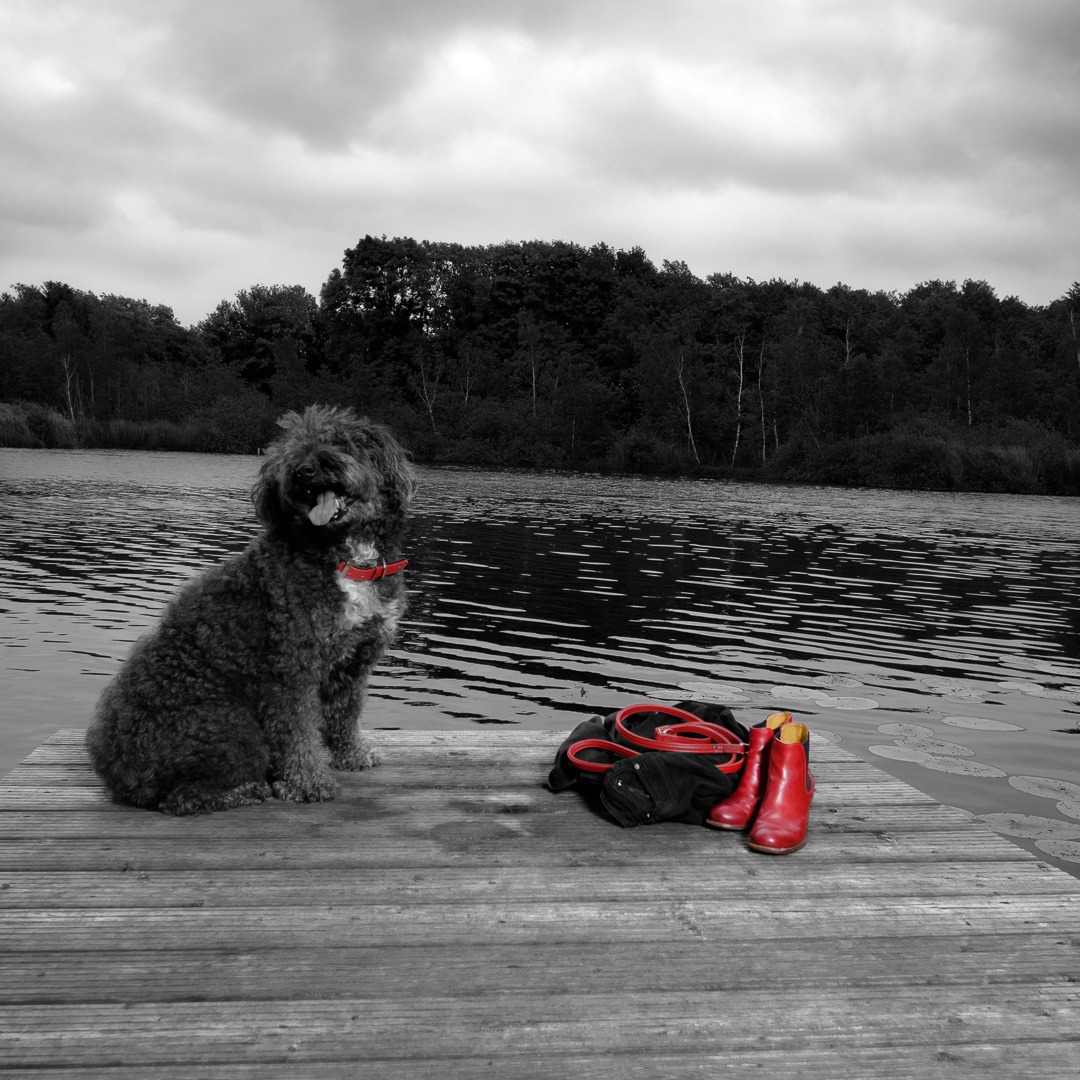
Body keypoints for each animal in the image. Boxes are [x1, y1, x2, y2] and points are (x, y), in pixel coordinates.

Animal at [86, 406, 416, 816]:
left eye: (340, 441)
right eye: (289, 453)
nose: (304, 471)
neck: (344, 558)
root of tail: (118, 774)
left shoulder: (354, 664)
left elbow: (345, 715)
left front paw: (352, 755)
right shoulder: (292, 672)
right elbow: (297, 736)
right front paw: (307, 783)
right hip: (230, 724)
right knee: (182, 799)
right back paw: (250, 789)